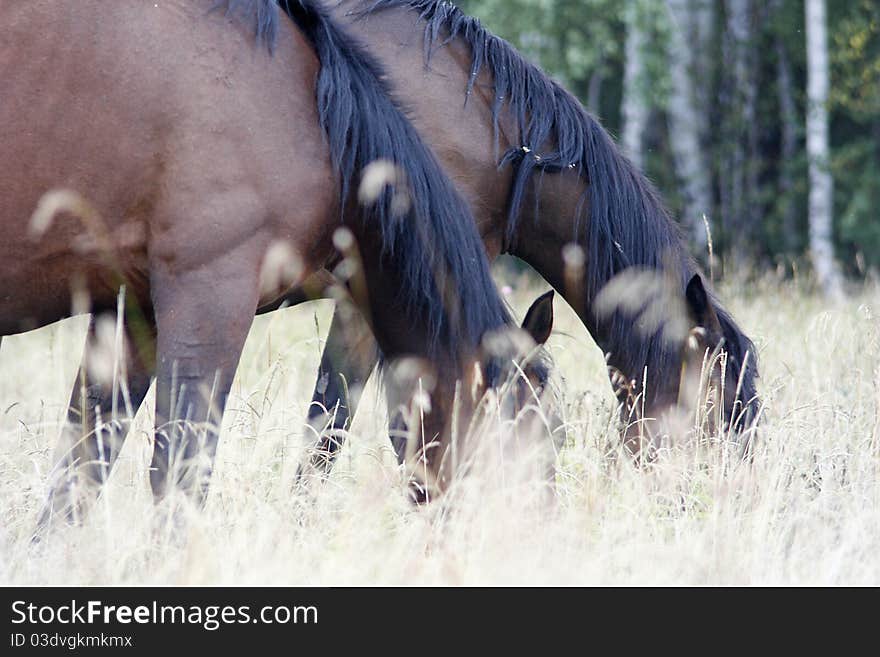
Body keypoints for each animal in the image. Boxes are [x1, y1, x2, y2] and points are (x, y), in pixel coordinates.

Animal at [0, 0, 552, 528]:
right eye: (525, 432)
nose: (530, 531)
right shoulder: (210, 294)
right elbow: (182, 472)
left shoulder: (131, 309)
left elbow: (79, 470)